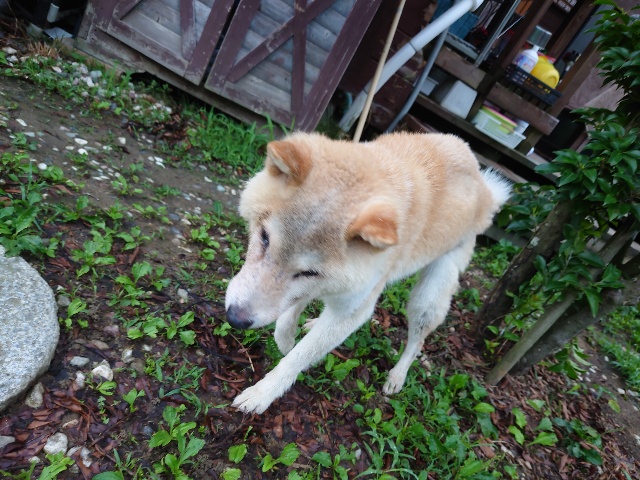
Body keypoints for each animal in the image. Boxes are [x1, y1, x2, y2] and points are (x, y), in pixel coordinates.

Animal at [225, 132, 511, 414]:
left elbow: (298, 358)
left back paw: (397, 376)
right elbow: (287, 321)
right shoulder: (321, 290)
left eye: (309, 271)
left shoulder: (351, 302)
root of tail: (484, 188)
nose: (235, 319)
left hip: (427, 299)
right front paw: (287, 341)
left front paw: (263, 393)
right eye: (264, 238)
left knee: (416, 343)